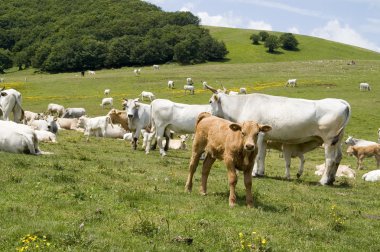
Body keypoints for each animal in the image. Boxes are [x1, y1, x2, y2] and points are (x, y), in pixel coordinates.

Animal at [206, 84, 352, 185]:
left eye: (210, 101)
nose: (208, 114)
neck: (242, 106)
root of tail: (340, 101)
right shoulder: (264, 138)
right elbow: (262, 155)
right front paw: (260, 172)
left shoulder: (258, 136)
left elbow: (257, 155)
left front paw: (253, 173)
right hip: (338, 139)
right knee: (338, 157)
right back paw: (331, 179)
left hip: (329, 139)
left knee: (330, 159)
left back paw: (323, 181)